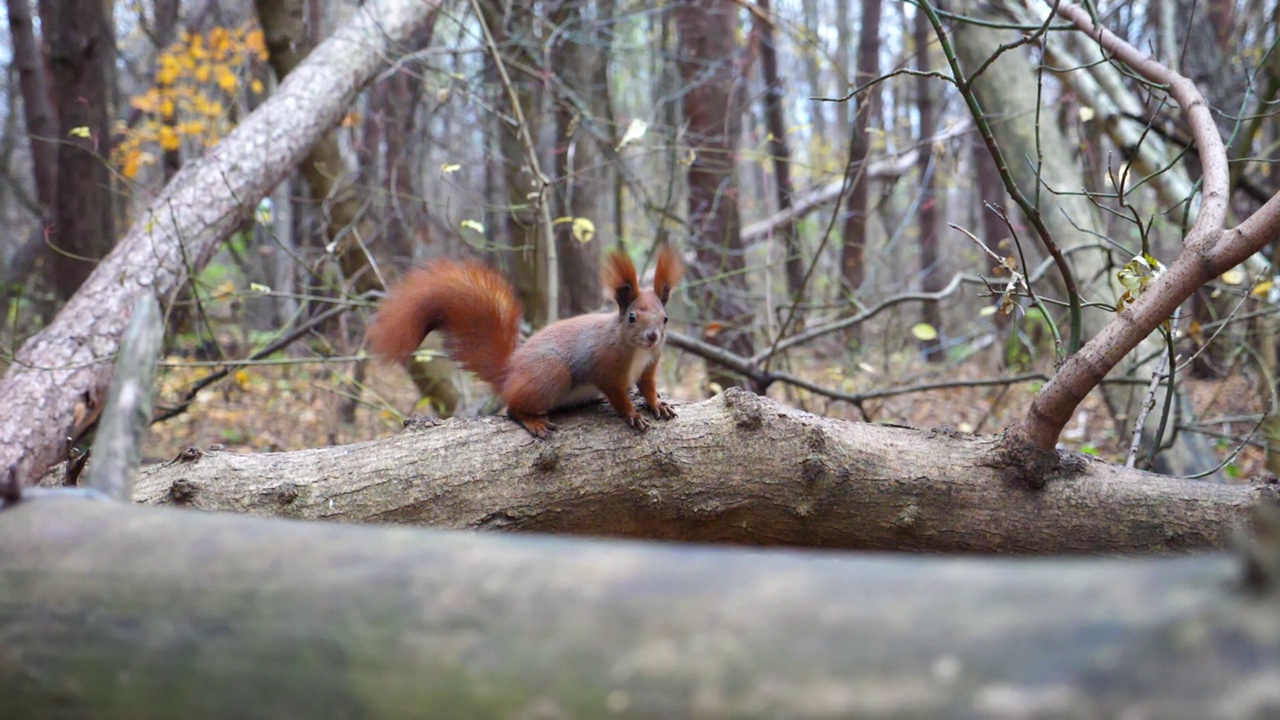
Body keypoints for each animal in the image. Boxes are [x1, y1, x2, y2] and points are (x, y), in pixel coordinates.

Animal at [366, 245, 686, 438]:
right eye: (632, 317)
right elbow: (618, 396)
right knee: (512, 409)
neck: (636, 351)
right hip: (551, 374)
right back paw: (533, 421)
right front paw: (633, 415)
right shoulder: (607, 369)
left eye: (665, 318)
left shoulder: (649, 366)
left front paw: (658, 404)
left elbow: (648, 387)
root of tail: (508, 373)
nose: (653, 337)